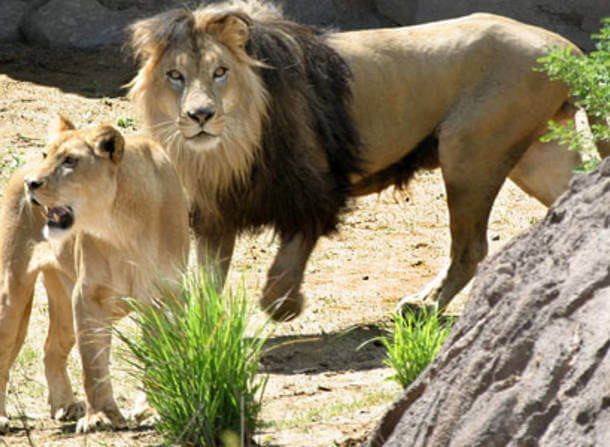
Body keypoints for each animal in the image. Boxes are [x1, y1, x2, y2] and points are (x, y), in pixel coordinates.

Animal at [0, 116, 189, 434]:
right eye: (46, 155)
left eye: (70, 161)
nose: (31, 184)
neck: (124, 227)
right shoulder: (89, 296)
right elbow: (93, 363)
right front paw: (100, 416)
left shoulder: (165, 298)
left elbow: (157, 352)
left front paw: (150, 410)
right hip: (12, 291)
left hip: (63, 299)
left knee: (52, 348)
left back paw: (64, 406)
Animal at [127, 0, 604, 322]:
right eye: (175, 76)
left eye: (220, 72)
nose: (200, 116)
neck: (227, 149)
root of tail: (563, 45)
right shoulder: (217, 212)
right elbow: (205, 284)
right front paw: (203, 330)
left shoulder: (317, 190)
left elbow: (287, 263)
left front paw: (285, 305)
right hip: (537, 156)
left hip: (469, 152)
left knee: (470, 248)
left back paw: (425, 305)